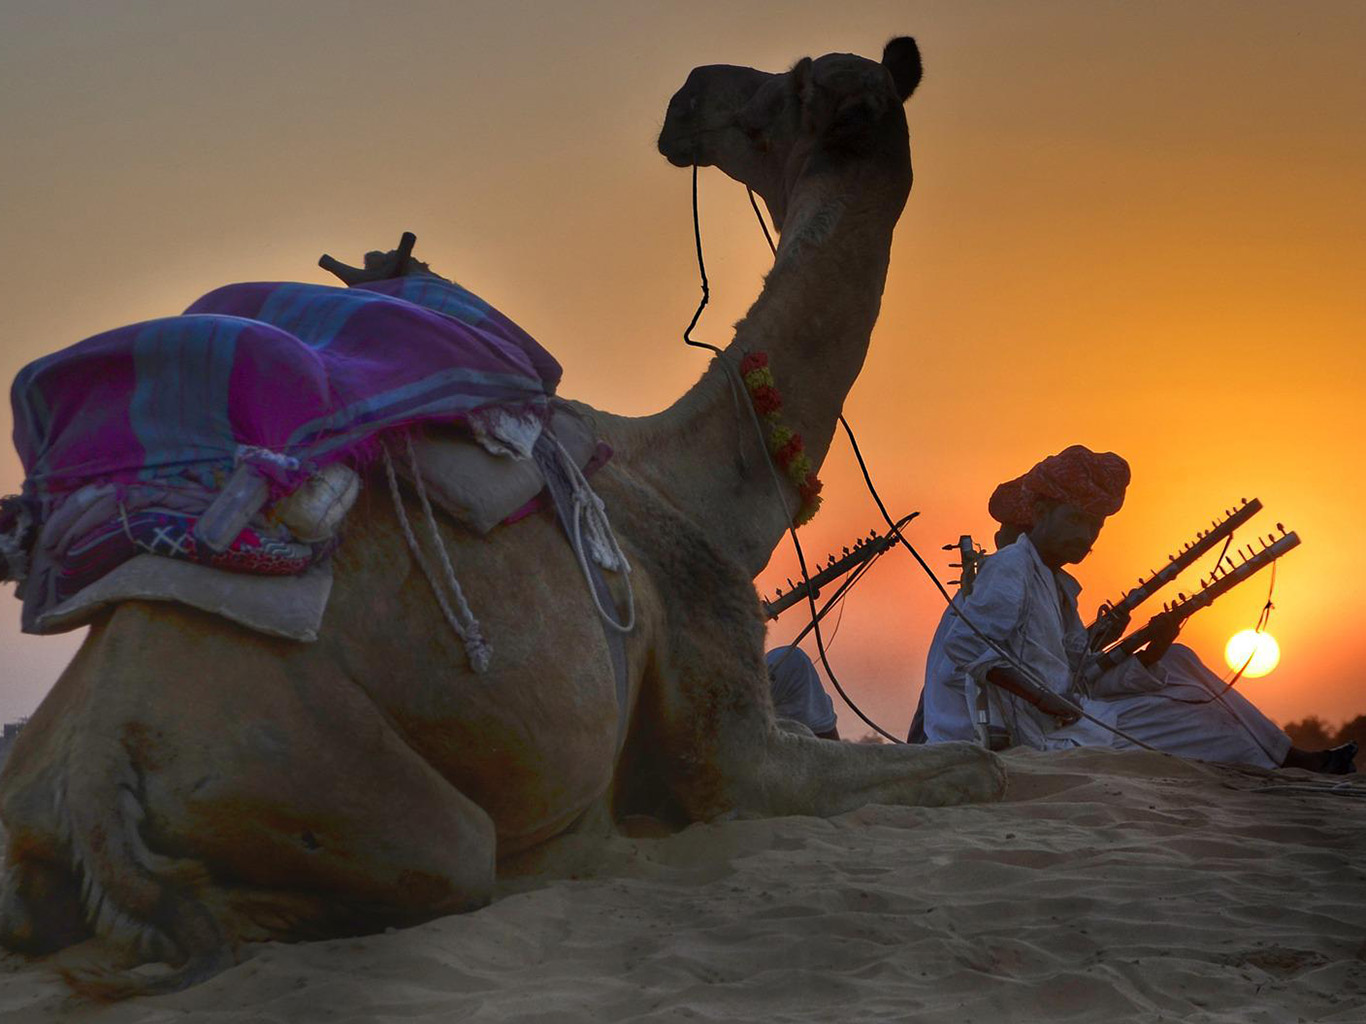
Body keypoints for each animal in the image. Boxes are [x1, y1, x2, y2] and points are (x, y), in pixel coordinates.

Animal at [0, 38, 1005, 993]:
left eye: (788, 84)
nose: (688, 93)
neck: (699, 485)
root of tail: (96, 765)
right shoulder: (733, 743)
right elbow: (975, 767)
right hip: (340, 782)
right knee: (407, 875)